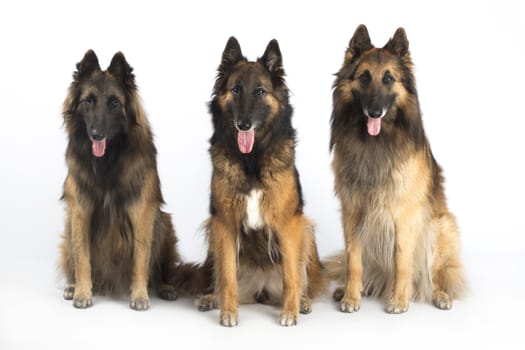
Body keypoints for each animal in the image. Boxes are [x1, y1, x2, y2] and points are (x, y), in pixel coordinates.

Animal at [59, 49, 181, 308]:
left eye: (114, 103)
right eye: (89, 100)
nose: (96, 134)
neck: (107, 162)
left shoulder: (142, 212)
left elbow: (141, 258)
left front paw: (139, 295)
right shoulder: (80, 211)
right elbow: (82, 257)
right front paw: (82, 292)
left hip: (164, 224)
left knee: (161, 268)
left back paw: (164, 287)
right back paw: (73, 285)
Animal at [326, 24, 464, 314]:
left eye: (389, 78)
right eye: (364, 77)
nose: (374, 112)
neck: (376, 143)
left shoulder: (404, 215)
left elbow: (402, 260)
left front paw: (399, 300)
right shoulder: (352, 212)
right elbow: (353, 261)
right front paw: (351, 297)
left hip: (440, 227)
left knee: (435, 274)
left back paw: (439, 294)